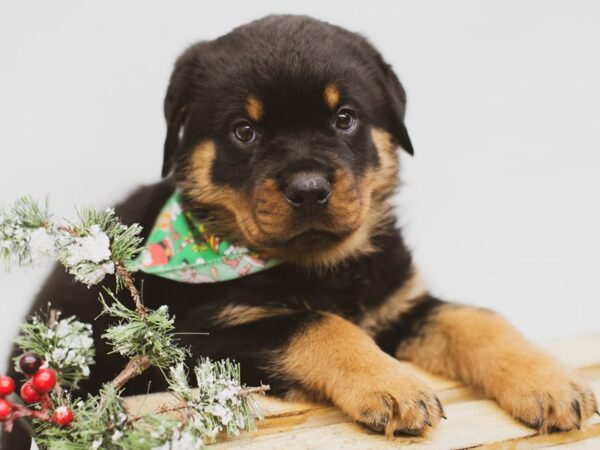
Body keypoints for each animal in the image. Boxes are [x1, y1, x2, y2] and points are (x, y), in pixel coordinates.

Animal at [3, 14, 596, 446]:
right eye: (244, 131)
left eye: (345, 118)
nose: (309, 188)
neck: (322, 268)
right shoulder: (202, 337)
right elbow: (317, 324)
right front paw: (394, 387)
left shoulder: (397, 303)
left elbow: (475, 318)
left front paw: (552, 380)